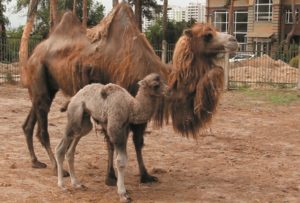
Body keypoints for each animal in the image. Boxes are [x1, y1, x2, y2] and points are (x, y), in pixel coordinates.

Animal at [20, 2, 237, 185]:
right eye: (207, 35)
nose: (234, 40)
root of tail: (34, 52)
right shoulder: (113, 104)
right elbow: (111, 141)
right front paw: (111, 177)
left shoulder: (141, 106)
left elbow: (138, 142)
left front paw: (146, 175)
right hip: (38, 73)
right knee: (43, 128)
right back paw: (58, 168)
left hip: (47, 86)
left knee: (29, 122)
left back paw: (35, 161)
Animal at [55, 73, 168, 203]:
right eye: (155, 85)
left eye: (163, 80)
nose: (168, 90)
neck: (131, 107)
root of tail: (72, 98)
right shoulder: (116, 130)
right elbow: (121, 161)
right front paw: (123, 194)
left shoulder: (124, 131)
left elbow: (119, 158)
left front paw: (122, 189)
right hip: (74, 116)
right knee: (60, 149)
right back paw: (62, 186)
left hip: (84, 122)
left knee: (71, 150)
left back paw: (77, 184)